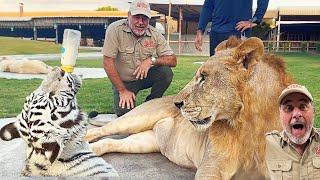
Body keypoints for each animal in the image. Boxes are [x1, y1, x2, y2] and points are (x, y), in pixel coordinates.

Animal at [85, 37, 296, 179]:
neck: (251, 124)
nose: (176, 104)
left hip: (146, 141)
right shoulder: (211, 166)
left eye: (203, 77)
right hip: (136, 119)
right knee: (100, 131)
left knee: (109, 142)